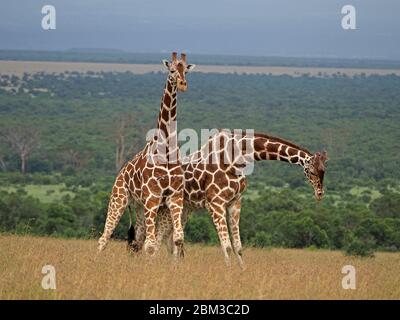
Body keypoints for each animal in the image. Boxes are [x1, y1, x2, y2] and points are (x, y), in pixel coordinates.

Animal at [98, 53, 195, 258]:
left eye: (186, 70)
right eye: (172, 70)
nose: (183, 84)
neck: (166, 149)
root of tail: (120, 173)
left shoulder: (174, 197)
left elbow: (177, 239)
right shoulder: (153, 196)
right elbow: (150, 245)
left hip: (140, 207)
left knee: (136, 241)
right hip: (119, 199)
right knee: (105, 238)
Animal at [129, 130, 328, 268]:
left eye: (324, 170)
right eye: (311, 171)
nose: (319, 194)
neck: (238, 155)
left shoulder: (235, 202)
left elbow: (238, 246)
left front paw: (242, 272)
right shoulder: (216, 203)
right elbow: (226, 246)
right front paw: (229, 273)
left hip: (183, 209)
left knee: (169, 240)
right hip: (163, 207)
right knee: (155, 239)